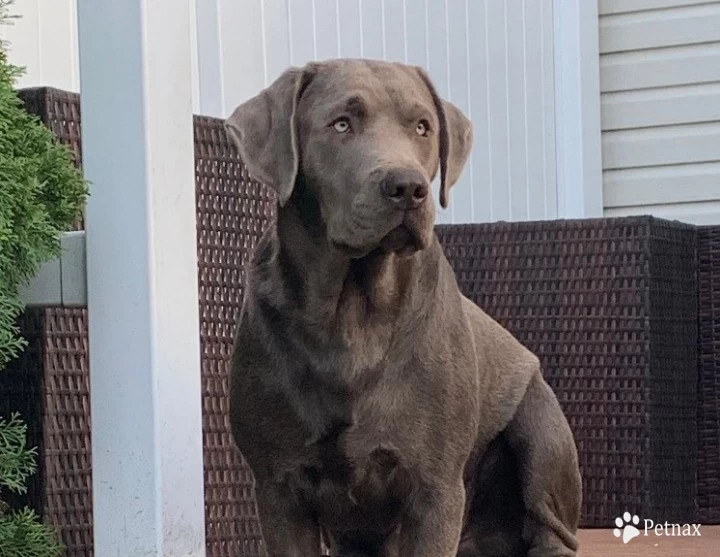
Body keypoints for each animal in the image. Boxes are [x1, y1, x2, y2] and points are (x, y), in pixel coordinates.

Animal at [225, 58, 580, 552]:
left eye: (422, 127)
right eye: (341, 124)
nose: (407, 187)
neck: (351, 316)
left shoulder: (434, 489)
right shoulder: (278, 489)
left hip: (540, 428)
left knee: (553, 530)